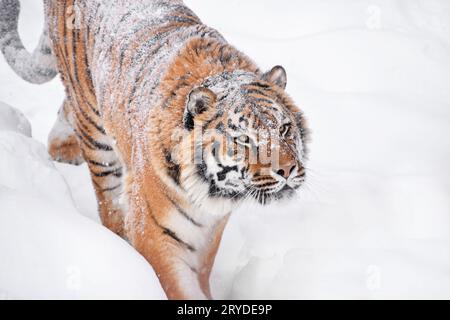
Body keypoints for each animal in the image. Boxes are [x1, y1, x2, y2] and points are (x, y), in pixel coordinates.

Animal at [0, 0, 310, 300]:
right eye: (244, 139)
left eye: (284, 129)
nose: (287, 170)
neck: (211, 192)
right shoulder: (155, 234)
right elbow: (179, 286)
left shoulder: (209, 235)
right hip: (96, 133)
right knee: (108, 201)